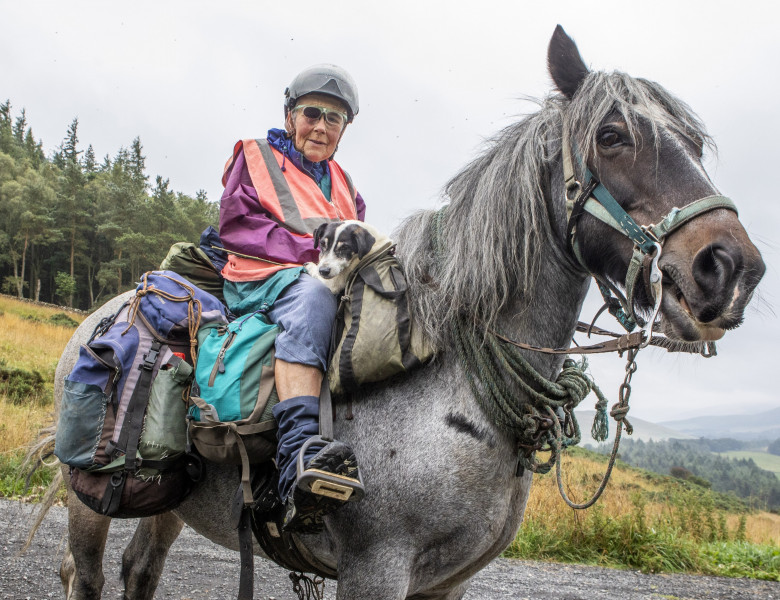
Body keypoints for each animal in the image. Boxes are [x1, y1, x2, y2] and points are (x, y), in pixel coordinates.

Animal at [51, 27, 764, 600]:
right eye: (612, 136)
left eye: (694, 143)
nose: (731, 269)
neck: (452, 382)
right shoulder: (377, 569)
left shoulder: (446, 582)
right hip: (87, 500)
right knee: (86, 576)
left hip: (171, 503)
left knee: (140, 571)